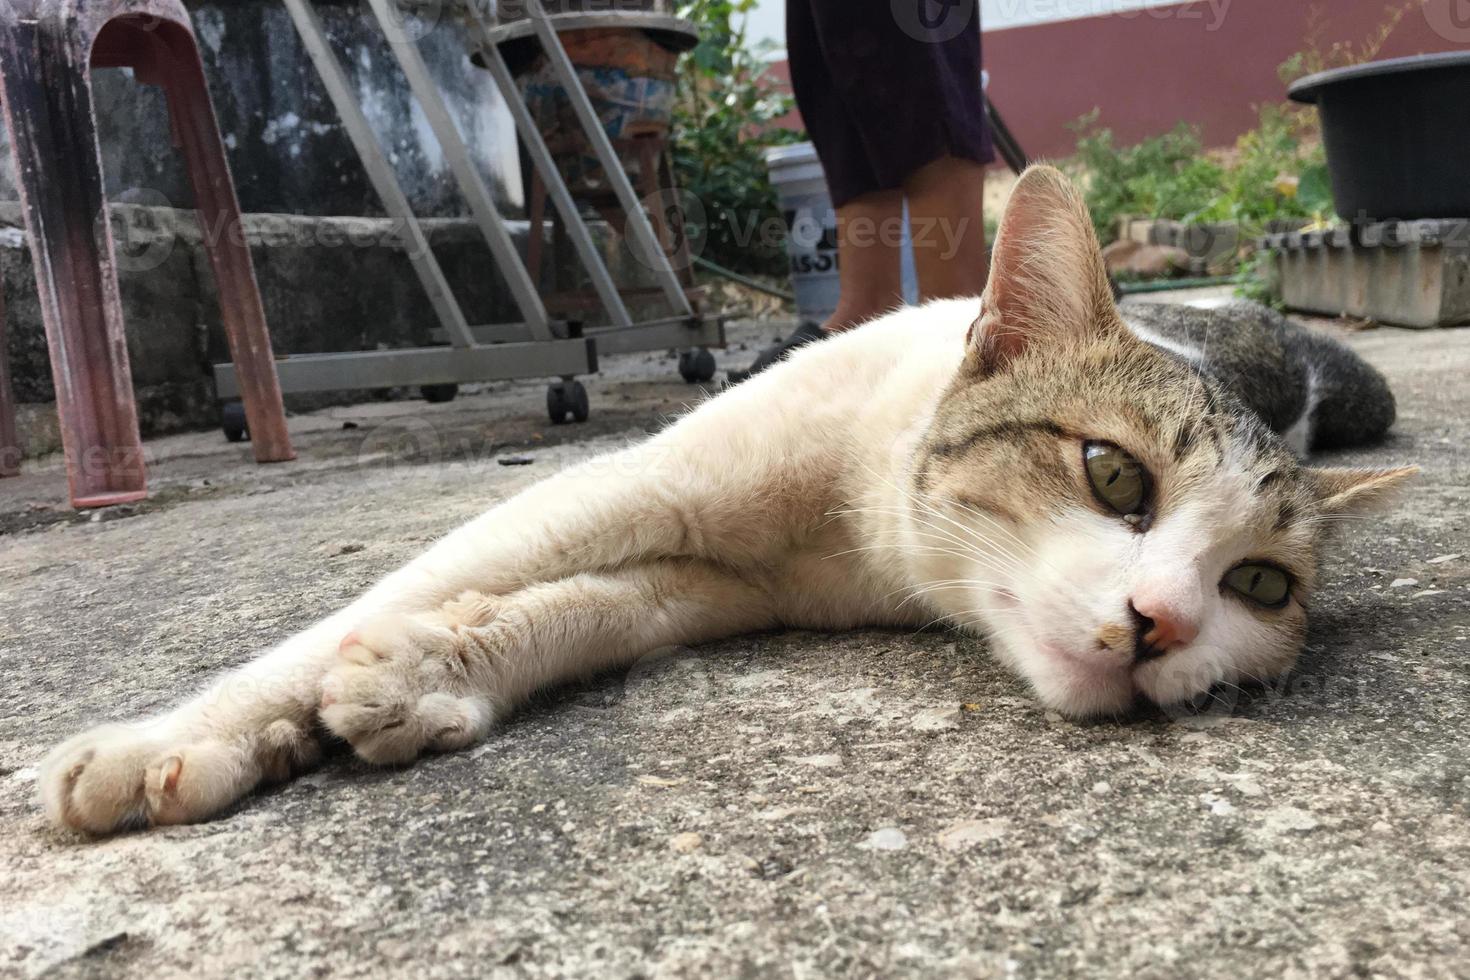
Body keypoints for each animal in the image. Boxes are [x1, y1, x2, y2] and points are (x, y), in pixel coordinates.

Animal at [34, 166, 1411, 834]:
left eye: (1258, 586)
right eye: (1115, 474)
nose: (1163, 623)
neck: (859, 518)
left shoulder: (711, 589)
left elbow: (577, 613)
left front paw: (425, 675)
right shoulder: (633, 487)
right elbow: (351, 611)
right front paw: (173, 742)